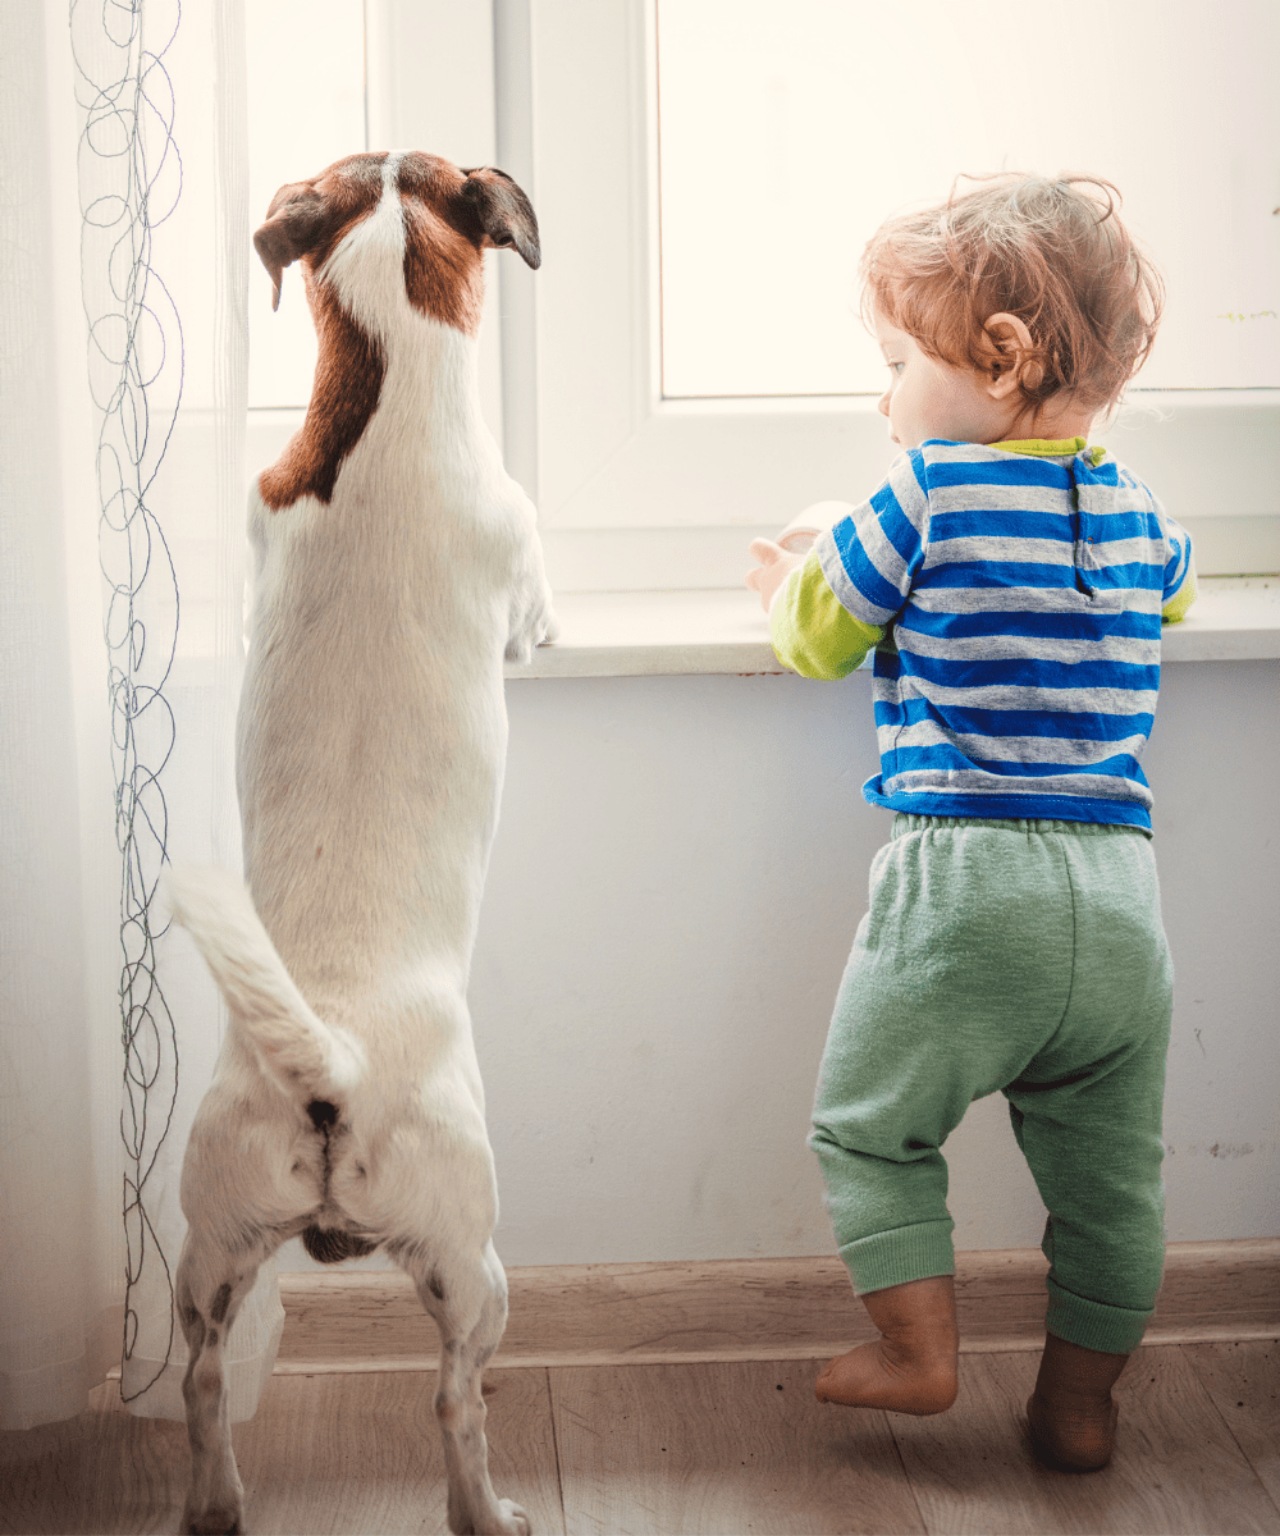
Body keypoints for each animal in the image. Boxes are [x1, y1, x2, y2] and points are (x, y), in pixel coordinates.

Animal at [163, 146, 553, 1536]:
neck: (380, 405)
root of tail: (328, 1066)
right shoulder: (520, 549)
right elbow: (534, 610)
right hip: (471, 1258)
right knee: (454, 1406)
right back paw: (486, 1510)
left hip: (207, 1256)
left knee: (205, 1387)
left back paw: (213, 1502)